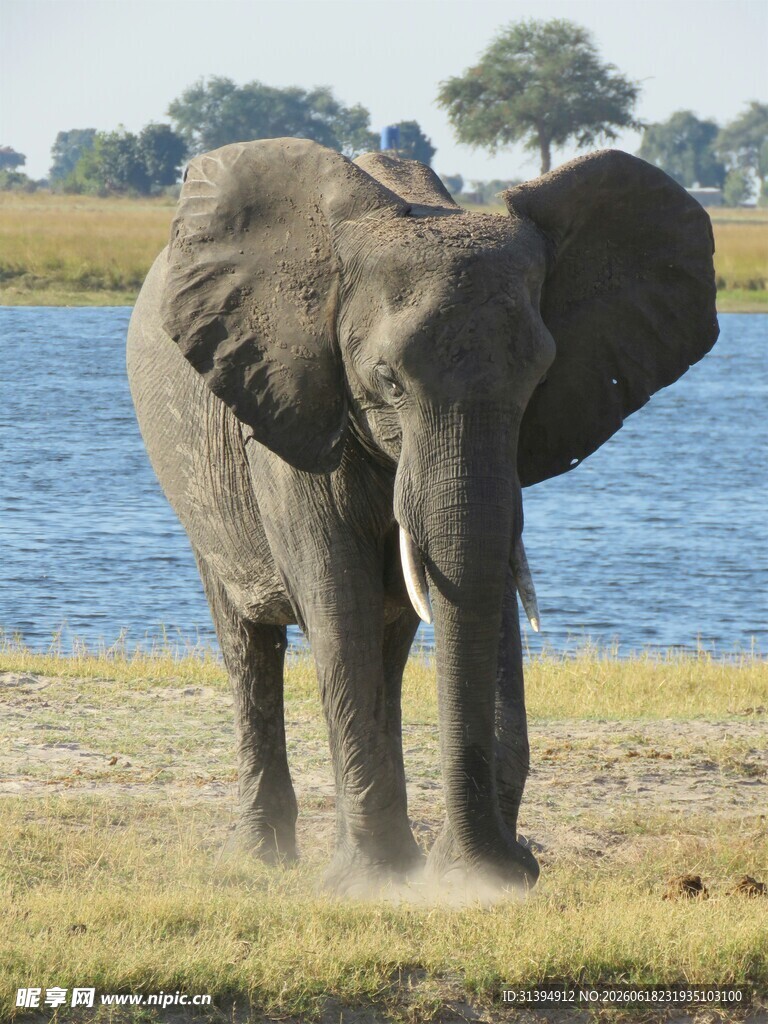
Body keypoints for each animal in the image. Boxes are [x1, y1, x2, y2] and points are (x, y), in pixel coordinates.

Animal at [126, 138, 718, 894]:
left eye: (539, 379)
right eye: (386, 379)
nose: (502, 863)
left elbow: (483, 582)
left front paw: (465, 881)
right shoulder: (291, 395)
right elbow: (337, 595)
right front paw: (369, 886)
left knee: (392, 645)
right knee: (249, 642)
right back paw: (262, 858)